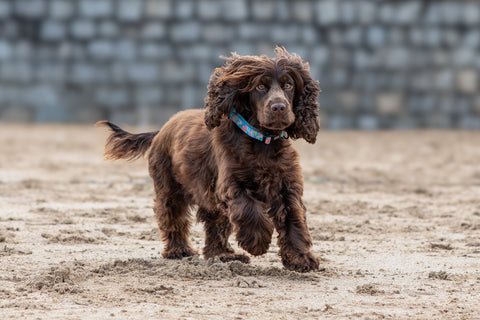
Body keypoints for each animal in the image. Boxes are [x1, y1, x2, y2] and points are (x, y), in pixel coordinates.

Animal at [97, 48, 320, 272]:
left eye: (288, 85)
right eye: (260, 86)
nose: (279, 107)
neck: (261, 142)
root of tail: (161, 130)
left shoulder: (286, 185)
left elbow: (294, 220)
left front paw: (300, 259)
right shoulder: (230, 184)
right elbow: (248, 209)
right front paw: (257, 241)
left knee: (215, 225)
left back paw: (224, 256)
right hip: (170, 187)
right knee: (172, 217)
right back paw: (179, 250)